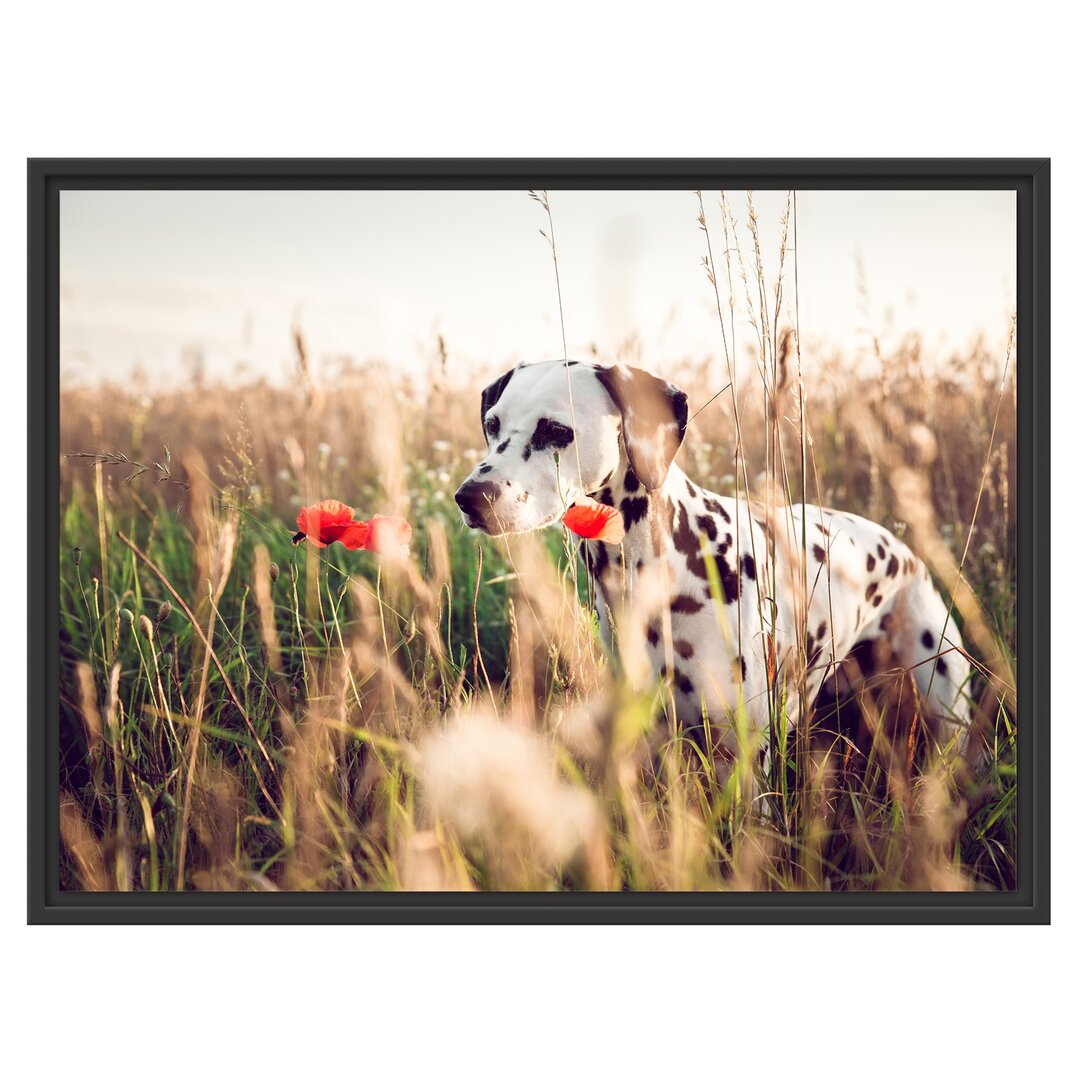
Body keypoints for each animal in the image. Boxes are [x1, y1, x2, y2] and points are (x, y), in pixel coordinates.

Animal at [451, 360, 976, 760]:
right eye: (493, 424)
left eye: (557, 431)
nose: (470, 497)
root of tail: (904, 549)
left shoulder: (739, 753)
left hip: (947, 705)